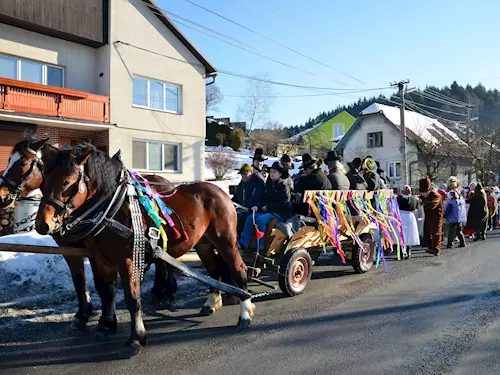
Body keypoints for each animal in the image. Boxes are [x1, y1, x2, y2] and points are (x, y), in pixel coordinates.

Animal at [0, 138, 179, 332]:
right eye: (9, 160)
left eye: (22, 163)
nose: (1, 195)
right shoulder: (70, 249)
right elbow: (79, 280)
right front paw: (83, 314)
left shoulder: (93, 250)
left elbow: (101, 282)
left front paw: (102, 318)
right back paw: (159, 291)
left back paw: (167, 293)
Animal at [35, 143, 254, 358]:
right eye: (44, 180)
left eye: (67, 182)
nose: (43, 225)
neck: (111, 209)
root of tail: (222, 192)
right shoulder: (101, 259)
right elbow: (106, 291)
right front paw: (105, 326)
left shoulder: (128, 259)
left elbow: (132, 298)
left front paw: (136, 339)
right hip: (204, 243)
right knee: (213, 270)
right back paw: (211, 303)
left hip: (225, 240)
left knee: (239, 270)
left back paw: (244, 313)